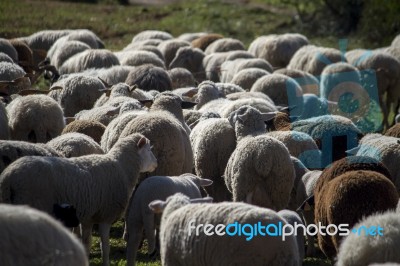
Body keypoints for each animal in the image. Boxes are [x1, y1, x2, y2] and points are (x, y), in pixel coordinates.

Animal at [0, 133, 159, 266]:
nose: (156, 163)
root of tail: (8, 178)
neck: (122, 169)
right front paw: (105, 263)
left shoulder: (88, 217)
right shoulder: (105, 215)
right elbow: (105, 247)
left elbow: (86, 244)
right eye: (148, 150)